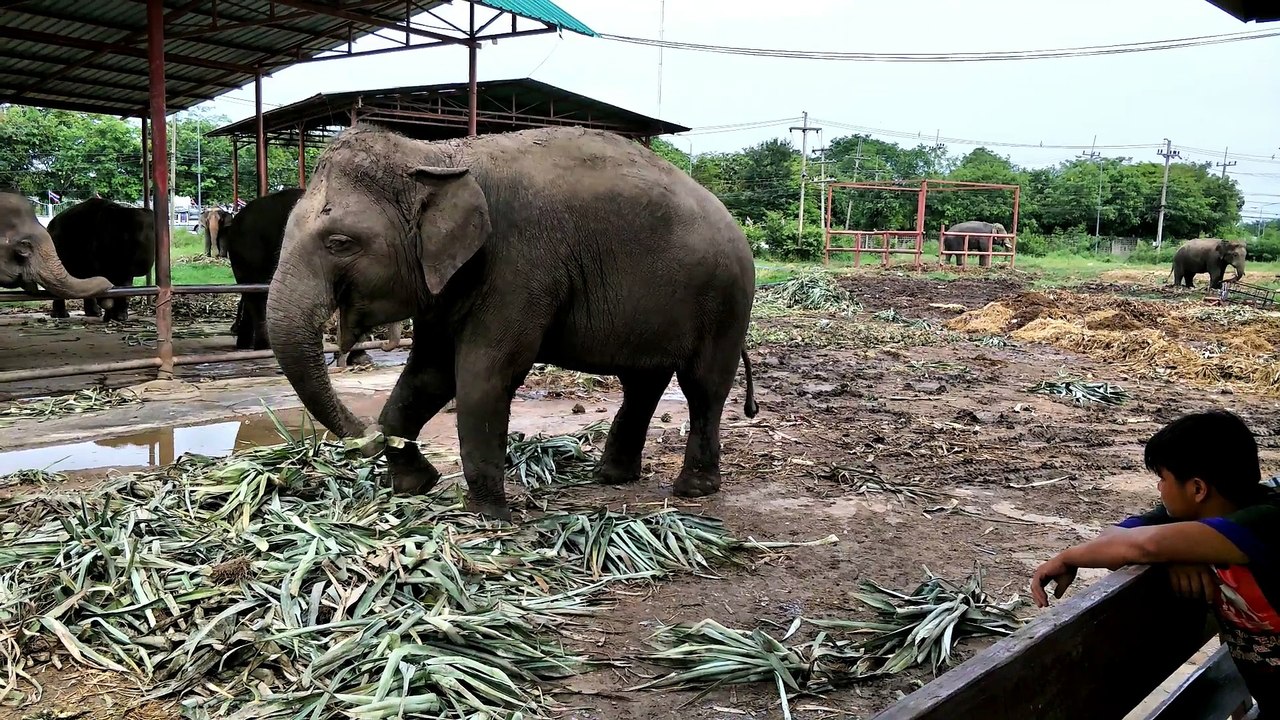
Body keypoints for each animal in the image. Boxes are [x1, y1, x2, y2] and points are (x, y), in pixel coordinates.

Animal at [264, 124, 760, 521]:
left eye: (340, 243)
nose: (366, 439)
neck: (435, 154)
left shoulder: (519, 266)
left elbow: (484, 375)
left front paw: (490, 515)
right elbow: (428, 374)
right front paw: (415, 485)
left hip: (727, 300)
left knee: (703, 386)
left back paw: (693, 490)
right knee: (643, 382)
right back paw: (610, 477)